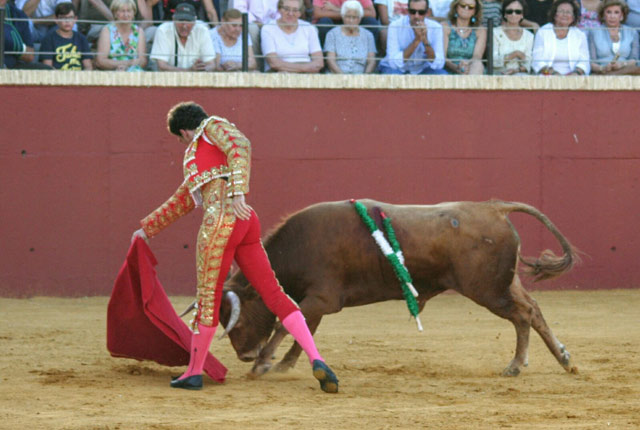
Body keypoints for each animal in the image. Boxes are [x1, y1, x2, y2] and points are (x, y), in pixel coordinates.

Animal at [214, 200, 580, 378]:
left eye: (238, 320)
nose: (245, 354)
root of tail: (494, 208)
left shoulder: (321, 298)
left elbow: (289, 325)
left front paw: (263, 364)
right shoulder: (318, 301)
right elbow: (303, 330)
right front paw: (282, 365)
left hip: (488, 290)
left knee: (523, 314)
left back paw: (516, 365)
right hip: (504, 284)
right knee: (534, 310)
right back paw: (564, 359)